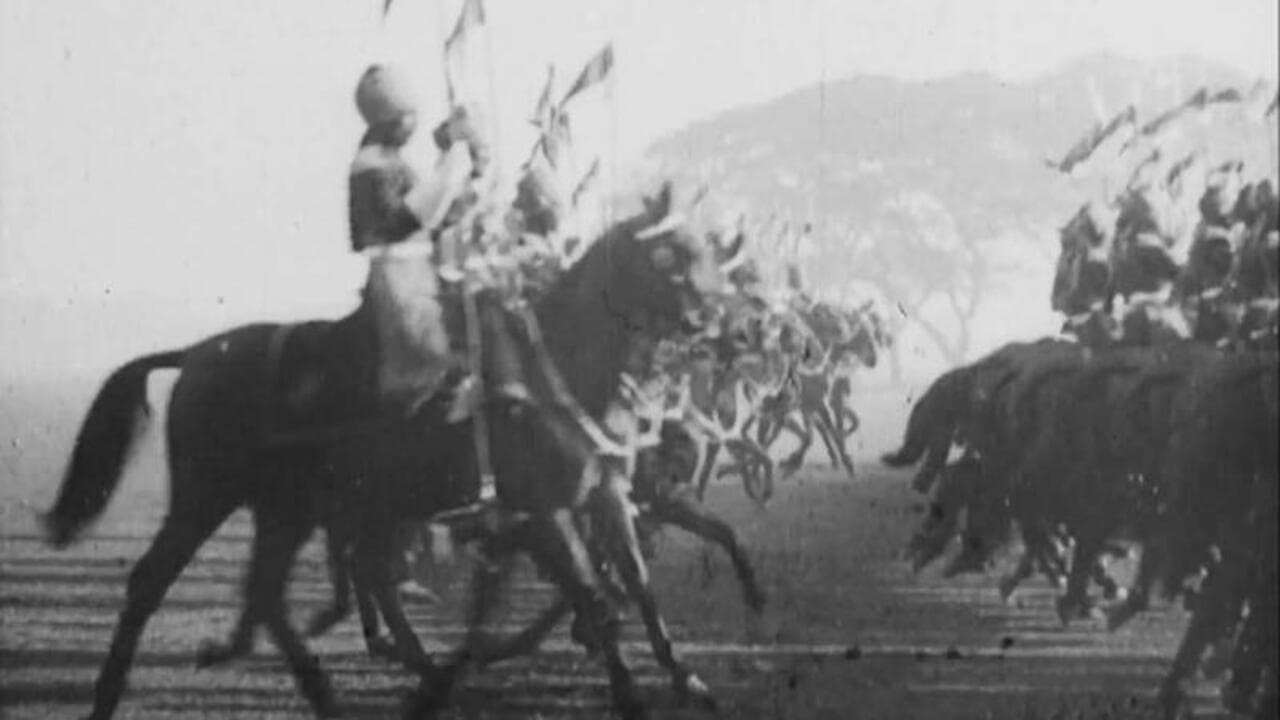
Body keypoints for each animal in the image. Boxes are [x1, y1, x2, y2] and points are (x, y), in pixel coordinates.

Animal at [45, 181, 742, 712]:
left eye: (705, 247)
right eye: (670, 253)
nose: (724, 322)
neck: (560, 369)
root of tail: (194, 354)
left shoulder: (602, 498)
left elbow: (636, 586)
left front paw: (685, 677)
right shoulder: (545, 512)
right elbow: (594, 598)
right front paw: (628, 691)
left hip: (289, 509)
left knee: (273, 593)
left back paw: (349, 685)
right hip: (208, 498)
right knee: (154, 582)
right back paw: (112, 694)